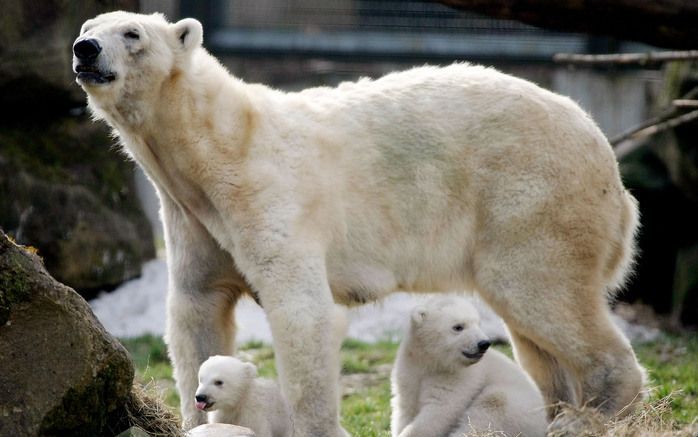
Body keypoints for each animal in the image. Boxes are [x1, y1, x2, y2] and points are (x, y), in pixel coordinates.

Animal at [75, 10, 640, 432]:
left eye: (132, 33)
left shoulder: (270, 201)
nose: (85, 50)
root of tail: (604, 151)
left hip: (533, 198)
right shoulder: (192, 217)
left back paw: (594, 416)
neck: (219, 146)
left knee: (541, 293)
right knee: (533, 334)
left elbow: (304, 316)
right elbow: (197, 311)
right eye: (88, 25)